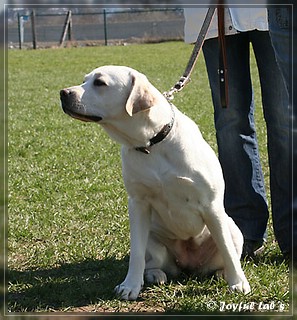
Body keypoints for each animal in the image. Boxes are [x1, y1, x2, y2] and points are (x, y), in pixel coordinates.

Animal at [59, 65, 250, 300]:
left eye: (100, 83)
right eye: (84, 80)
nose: (63, 93)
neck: (152, 143)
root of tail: (189, 265)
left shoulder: (211, 205)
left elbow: (227, 250)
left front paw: (238, 283)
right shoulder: (138, 203)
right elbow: (137, 254)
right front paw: (130, 285)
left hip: (234, 229)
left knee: (226, 251)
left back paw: (223, 274)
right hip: (154, 240)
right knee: (153, 262)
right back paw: (154, 275)